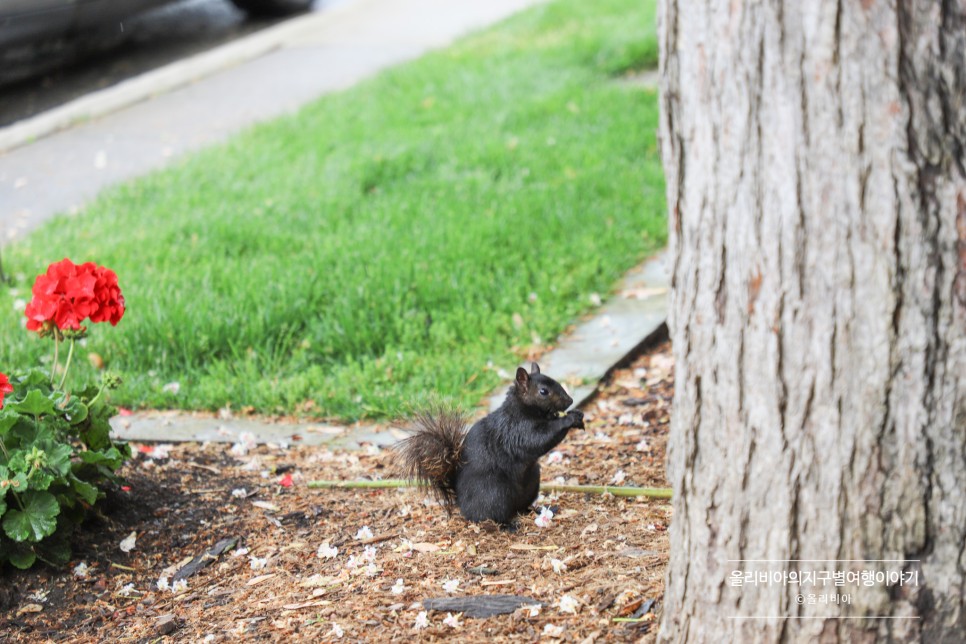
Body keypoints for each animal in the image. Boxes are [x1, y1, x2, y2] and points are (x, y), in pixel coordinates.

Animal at [398, 362, 588, 524]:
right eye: (543, 391)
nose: (570, 401)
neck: (523, 409)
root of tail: (460, 501)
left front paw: (576, 415)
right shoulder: (517, 430)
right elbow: (538, 439)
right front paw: (568, 419)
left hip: (532, 481)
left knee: (519, 507)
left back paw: (535, 510)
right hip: (495, 492)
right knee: (492, 516)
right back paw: (508, 525)